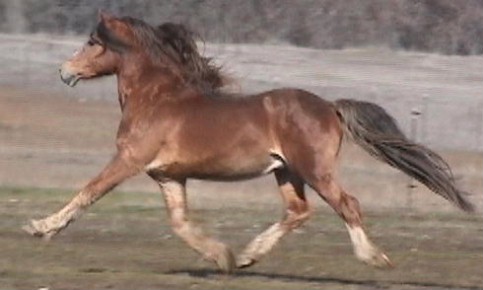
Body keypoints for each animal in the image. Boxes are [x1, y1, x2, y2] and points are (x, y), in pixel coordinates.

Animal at [24, 12, 474, 274]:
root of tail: (330, 107)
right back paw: (246, 255)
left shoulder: (129, 160)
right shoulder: (168, 176)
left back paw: (374, 258)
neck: (156, 98)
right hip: (286, 172)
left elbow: (89, 192)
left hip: (314, 169)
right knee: (298, 211)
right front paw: (220, 256)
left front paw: (40, 227)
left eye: (92, 42)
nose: (64, 71)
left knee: (347, 205)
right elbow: (179, 222)